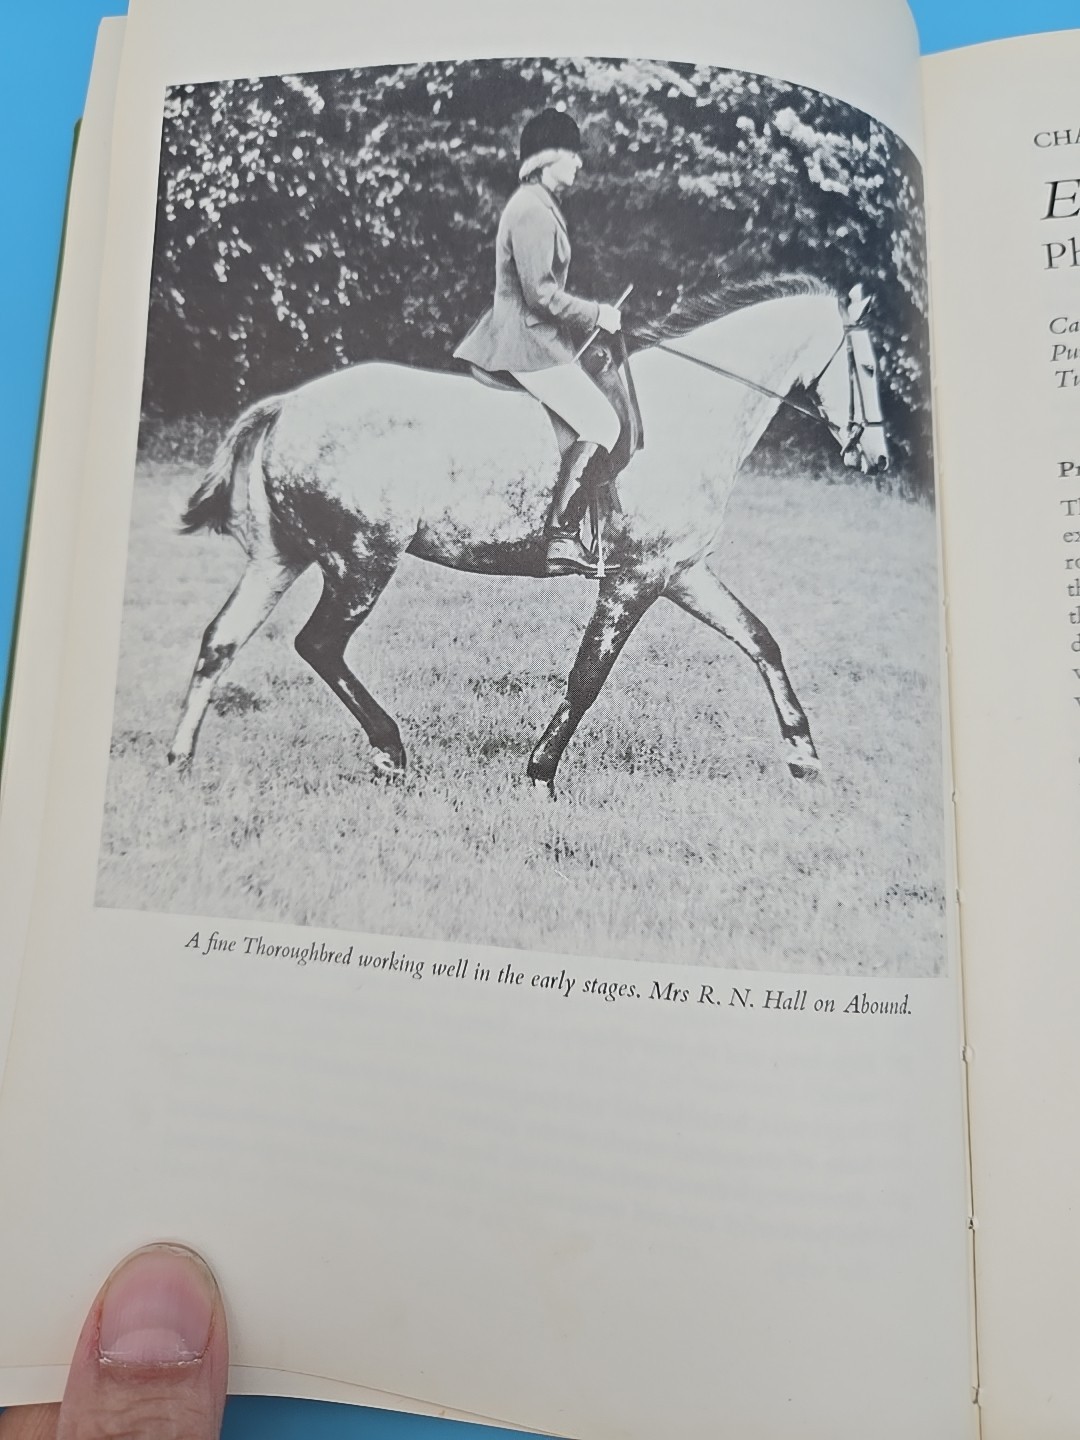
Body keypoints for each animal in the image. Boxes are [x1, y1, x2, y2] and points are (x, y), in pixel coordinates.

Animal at [168, 277, 887, 792]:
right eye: (872, 369)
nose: (875, 459)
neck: (691, 407)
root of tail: (286, 404)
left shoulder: (679, 572)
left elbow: (760, 639)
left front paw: (804, 756)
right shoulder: (634, 579)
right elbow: (587, 678)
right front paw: (541, 774)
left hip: (283, 557)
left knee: (220, 641)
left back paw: (181, 759)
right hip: (362, 560)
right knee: (318, 644)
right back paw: (389, 750)